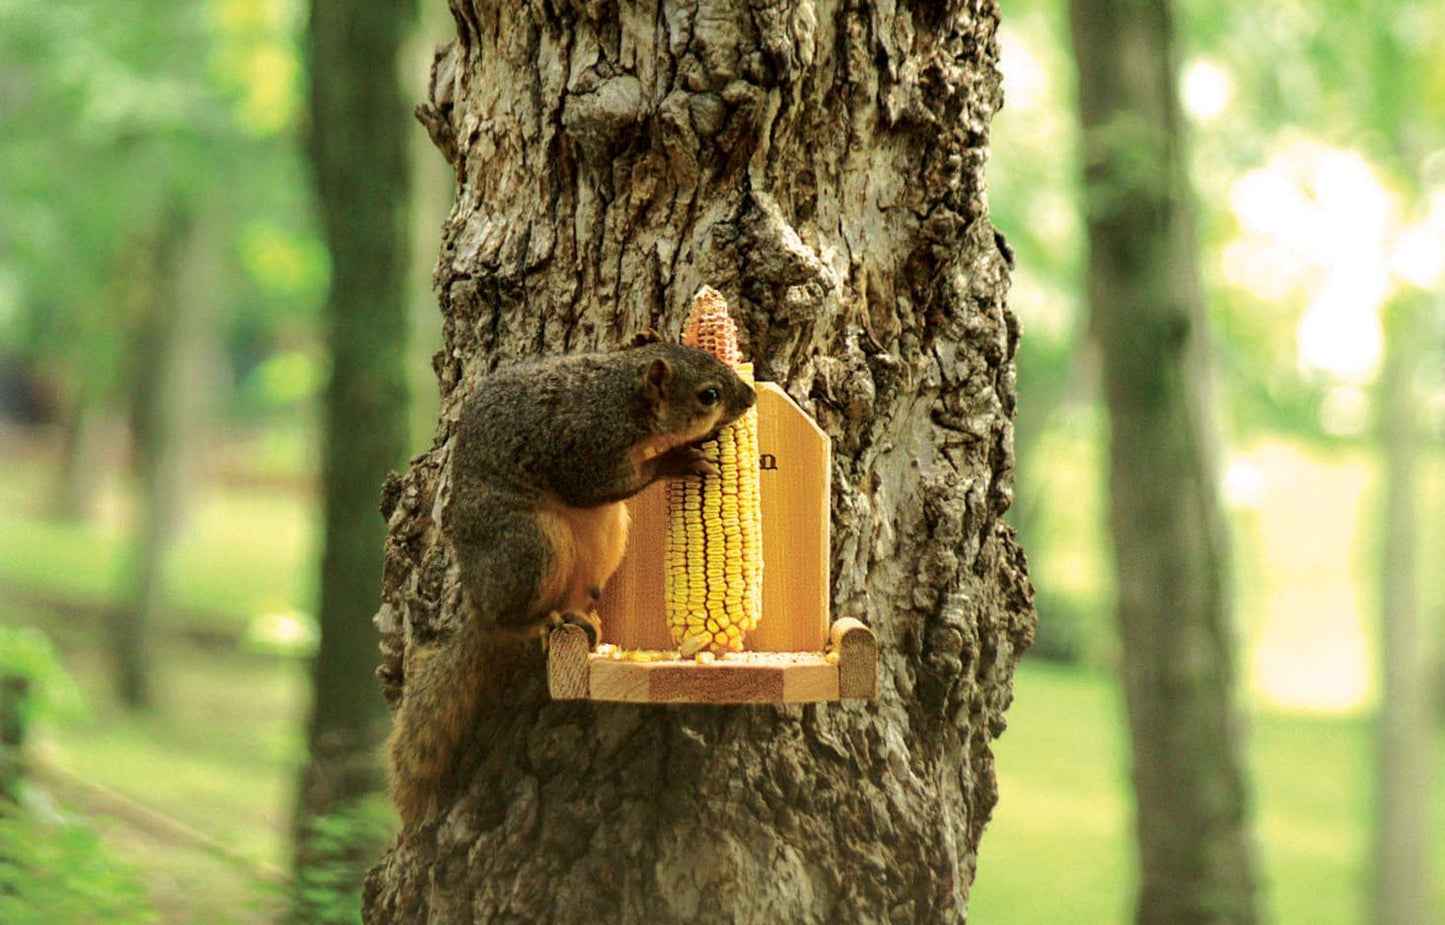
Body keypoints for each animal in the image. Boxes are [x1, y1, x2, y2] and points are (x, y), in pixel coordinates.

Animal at [389, 339, 756, 829]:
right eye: (709, 395)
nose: (751, 397)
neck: (620, 395)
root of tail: (480, 609)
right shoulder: (584, 449)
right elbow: (601, 484)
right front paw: (674, 459)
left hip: (607, 533)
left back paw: (584, 617)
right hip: (532, 544)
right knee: (513, 617)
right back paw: (539, 622)